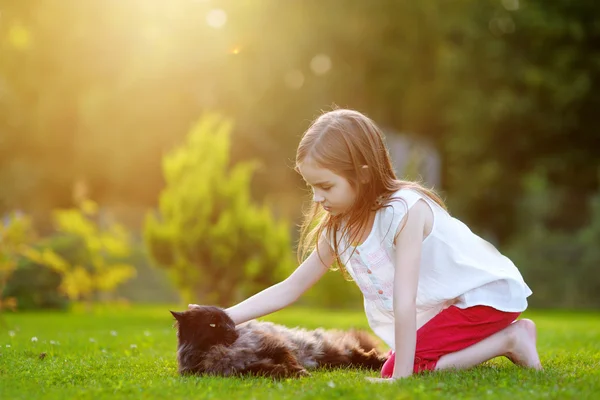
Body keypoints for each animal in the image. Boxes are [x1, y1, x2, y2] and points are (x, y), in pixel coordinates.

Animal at [171, 306, 386, 378]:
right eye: (213, 323)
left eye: (229, 321)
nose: (233, 330)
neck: (220, 350)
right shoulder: (238, 369)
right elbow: (265, 369)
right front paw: (283, 372)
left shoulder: (270, 345)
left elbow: (288, 359)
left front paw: (298, 372)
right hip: (329, 360)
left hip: (325, 352)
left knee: (359, 354)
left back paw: (381, 362)